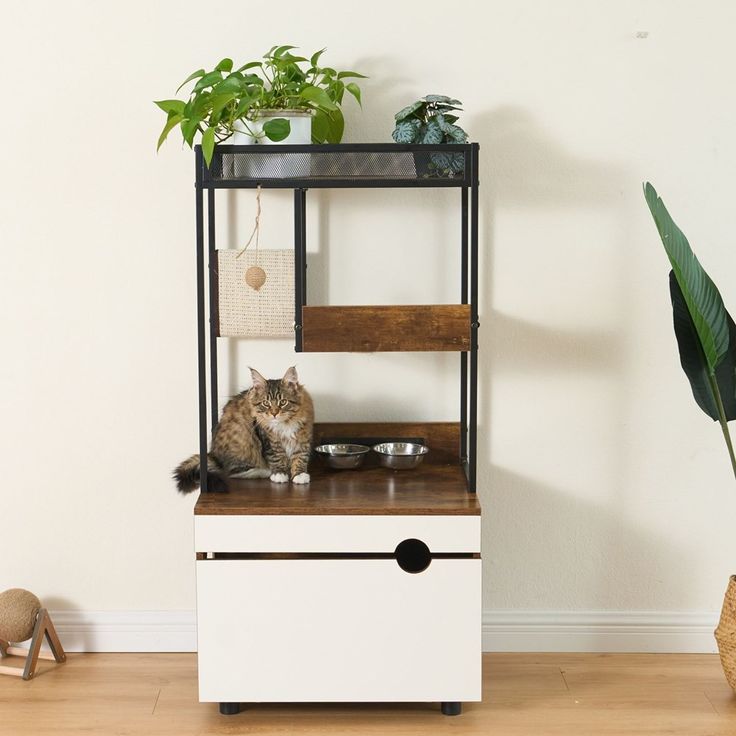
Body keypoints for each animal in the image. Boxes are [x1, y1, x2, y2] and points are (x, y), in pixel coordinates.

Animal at [175, 366, 314, 492]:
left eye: (283, 402)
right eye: (266, 403)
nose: (274, 413)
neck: (284, 424)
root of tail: (213, 454)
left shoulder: (303, 437)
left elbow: (301, 456)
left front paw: (299, 475)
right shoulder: (268, 438)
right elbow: (276, 456)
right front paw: (279, 473)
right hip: (243, 440)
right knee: (231, 472)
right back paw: (264, 471)